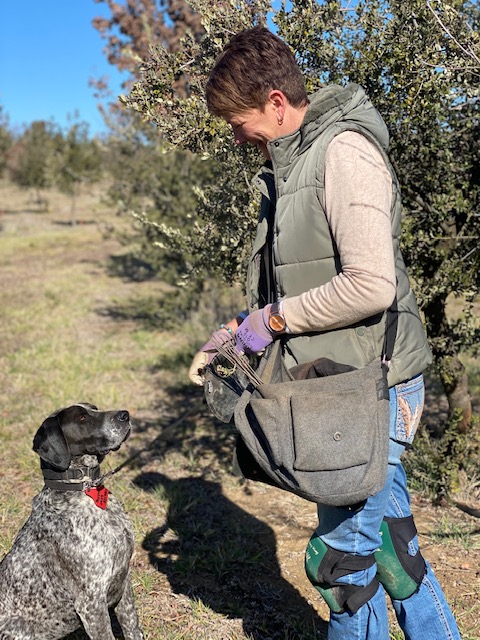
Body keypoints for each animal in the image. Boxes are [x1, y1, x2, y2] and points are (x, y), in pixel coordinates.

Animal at [0, 404, 143, 640]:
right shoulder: (91, 603)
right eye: (82, 418)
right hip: (21, 629)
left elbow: (133, 629)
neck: (87, 492)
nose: (125, 415)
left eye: (95, 408)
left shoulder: (123, 582)